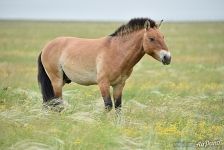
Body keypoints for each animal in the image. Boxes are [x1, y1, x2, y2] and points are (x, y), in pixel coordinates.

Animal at [37, 18, 172, 110]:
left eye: (163, 37)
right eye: (151, 38)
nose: (167, 57)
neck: (116, 51)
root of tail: (46, 47)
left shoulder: (119, 85)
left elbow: (118, 106)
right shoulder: (103, 83)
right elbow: (108, 105)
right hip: (56, 81)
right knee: (57, 103)